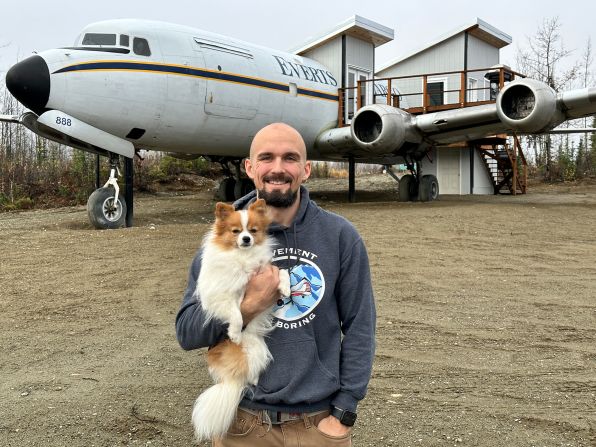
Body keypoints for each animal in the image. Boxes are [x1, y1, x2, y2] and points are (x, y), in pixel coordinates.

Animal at [192, 200, 290, 440]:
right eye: (236, 232)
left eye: (253, 231)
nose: (246, 239)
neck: (243, 257)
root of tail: (230, 380)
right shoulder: (222, 296)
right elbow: (236, 312)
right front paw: (235, 332)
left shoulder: (266, 269)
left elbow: (282, 272)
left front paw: (286, 287)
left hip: (257, 349)